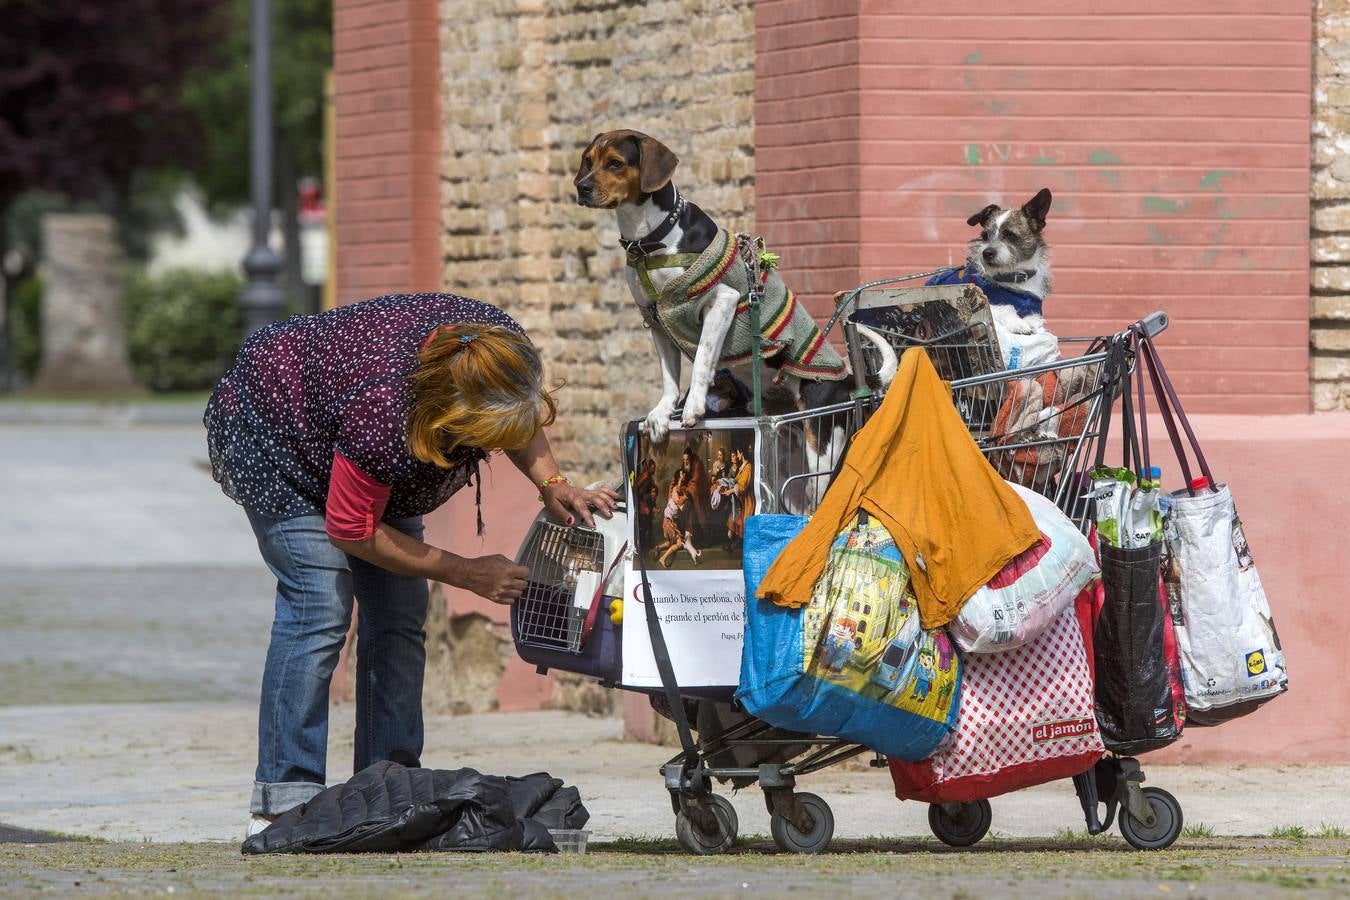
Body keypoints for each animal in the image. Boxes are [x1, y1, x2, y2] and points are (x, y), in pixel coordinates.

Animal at [572, 129, 896, 447]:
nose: (581, 188)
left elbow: (702, 359)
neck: (652, 239)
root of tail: (849, 379)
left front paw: (693, 406)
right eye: (588, 161)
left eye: (615, 163)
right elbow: (669, 378)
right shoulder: (655, 318)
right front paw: (662, 413)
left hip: (821, 433)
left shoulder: (722, 301)